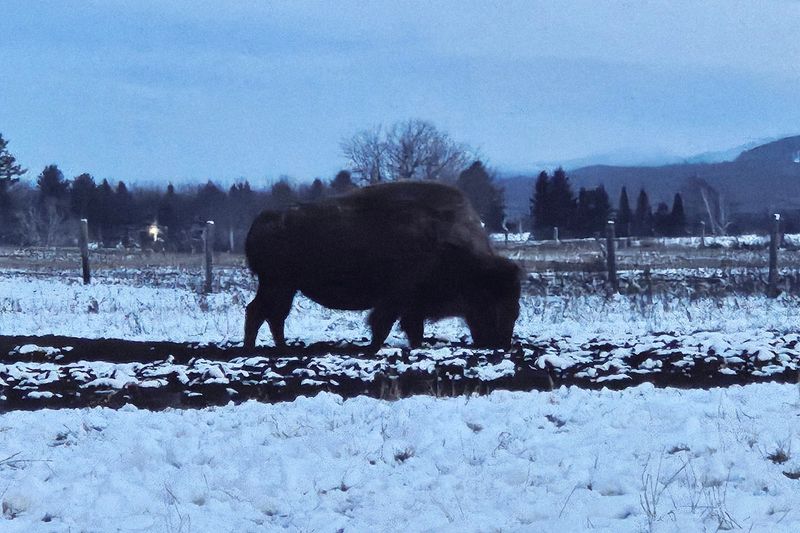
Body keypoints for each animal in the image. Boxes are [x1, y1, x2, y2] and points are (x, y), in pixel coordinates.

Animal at [244, 181, 521, 351]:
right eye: (494, 302)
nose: (499, 344)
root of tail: (262, 221)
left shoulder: (411, 305)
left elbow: (409, 329)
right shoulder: (396, 300)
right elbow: (384, 325)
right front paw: (372, 349)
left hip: (284, 287)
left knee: (270, 315)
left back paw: (279, 348)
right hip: (278, 284)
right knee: (260, 312)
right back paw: (258, 350)